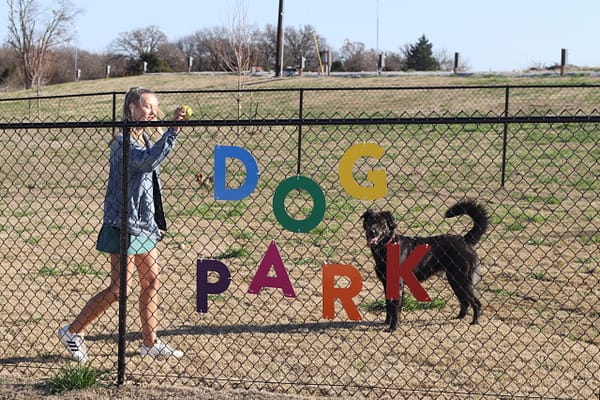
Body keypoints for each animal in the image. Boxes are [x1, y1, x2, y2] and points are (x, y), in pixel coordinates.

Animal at [360, 200, 488, 332]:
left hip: (462, 279)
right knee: (465, 301)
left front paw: (393, 327)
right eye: (369, 222)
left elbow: (394, 307)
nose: (372, 231)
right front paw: (387, 322)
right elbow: (389, 306)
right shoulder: (387, 283)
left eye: (382, 224)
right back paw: (458, 318)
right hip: (455, 280)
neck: (387, 246)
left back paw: (475, 322)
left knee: (476, 302)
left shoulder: (397, 284)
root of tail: (464, 240)